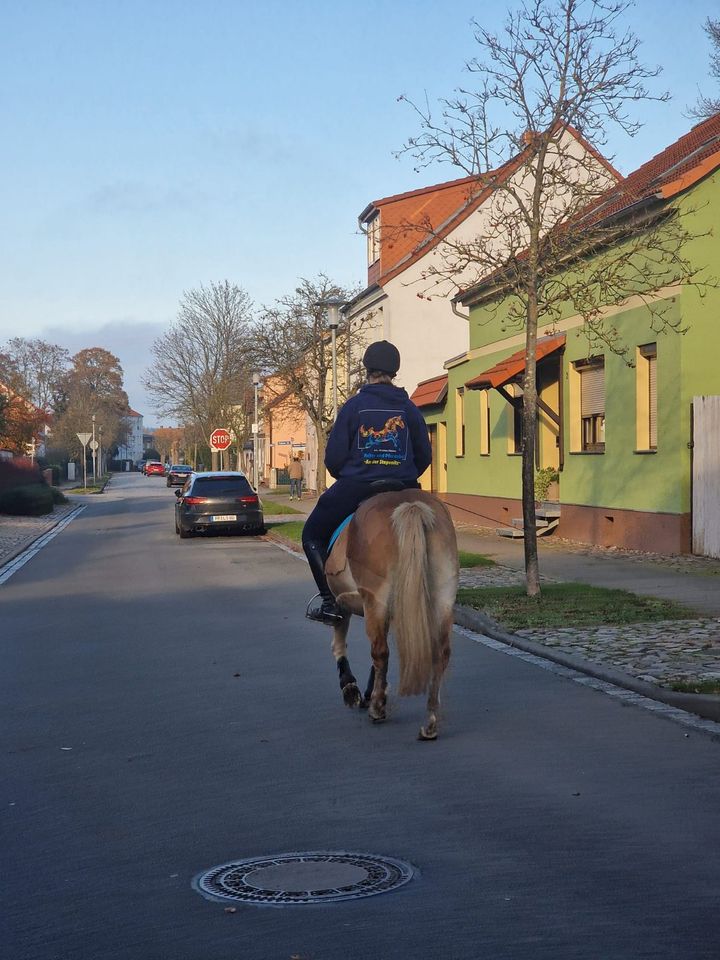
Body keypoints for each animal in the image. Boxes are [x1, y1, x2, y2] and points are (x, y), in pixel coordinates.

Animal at [324, 488, 458, 744]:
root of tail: (410, 505)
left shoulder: (350, 603)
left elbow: (340, 639)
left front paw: (352, 689)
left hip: (375, 599)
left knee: (380, 651)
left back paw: (377, 708)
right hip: (444, 597)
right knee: (440, 653)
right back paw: (430, 724)